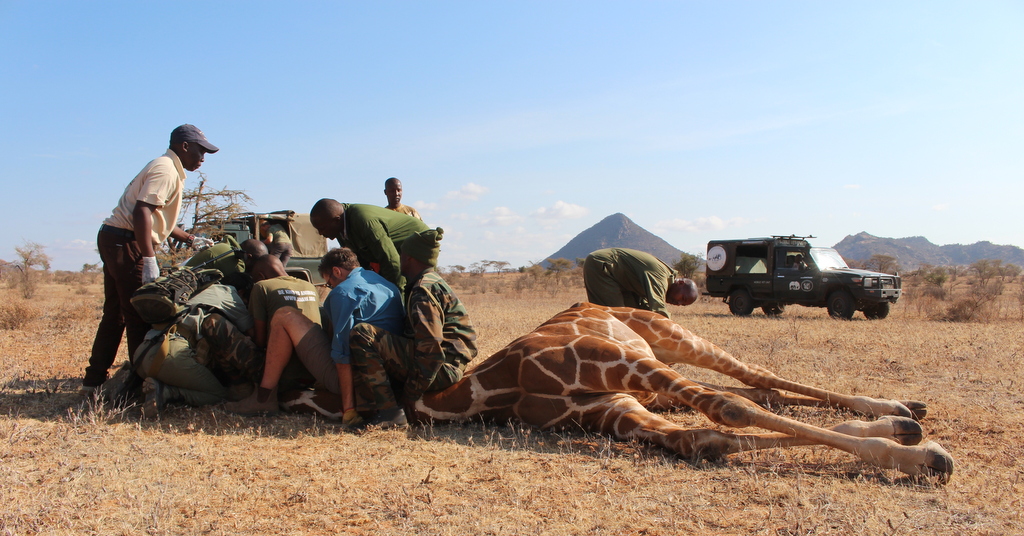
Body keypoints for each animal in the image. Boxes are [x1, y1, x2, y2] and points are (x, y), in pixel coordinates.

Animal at [282, 303, 950, 483]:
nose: (288, 400)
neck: (496, 385)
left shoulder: (628, 375)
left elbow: (729, 409)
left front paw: (921, 456)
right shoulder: (616, 411)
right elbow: (709, 441)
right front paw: (912, 446)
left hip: (664, 339)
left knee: (750, 377)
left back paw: (898, 413)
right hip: (655, 367)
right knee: (754, 392)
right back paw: (903, 414)